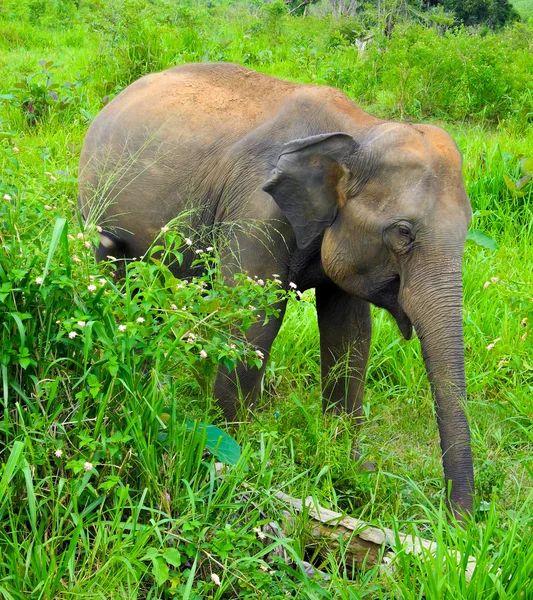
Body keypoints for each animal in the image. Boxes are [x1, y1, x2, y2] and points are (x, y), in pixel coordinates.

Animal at [79, 62, 474, 516]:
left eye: (468, 230)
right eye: (403, 233)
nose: (459, 522)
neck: (359, 129)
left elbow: (351, 335)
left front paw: (349, 469)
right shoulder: (256, 210)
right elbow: (254, 323)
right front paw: (234, 454)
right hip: (93, 202)